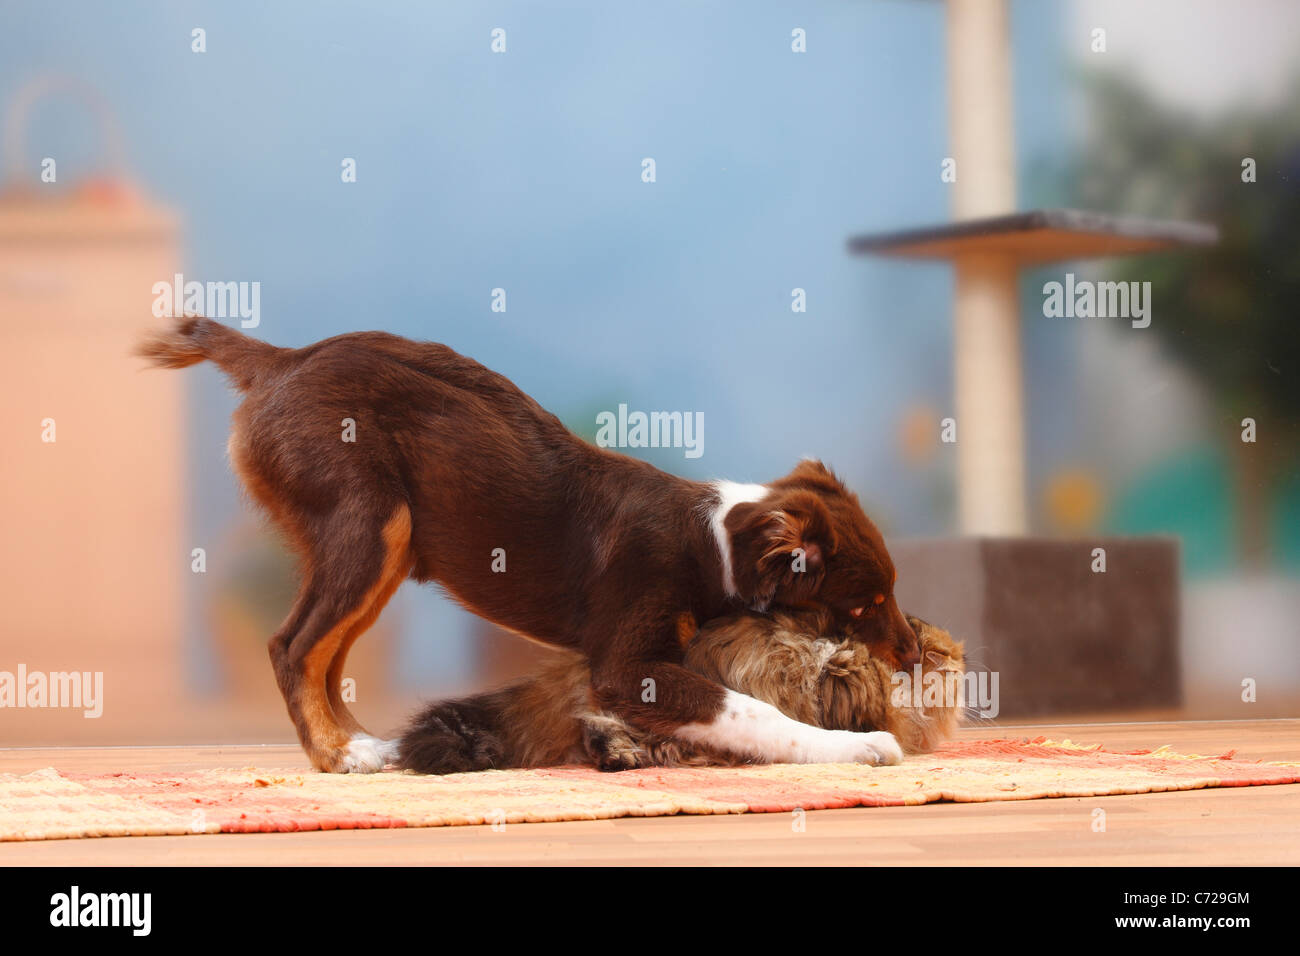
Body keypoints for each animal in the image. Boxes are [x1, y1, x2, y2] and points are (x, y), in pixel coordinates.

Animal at [139, 319, 915, 770]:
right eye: (863, 604)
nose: (914, 656)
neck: (714, 541)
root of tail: (280, 360)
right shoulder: (627, 665)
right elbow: (750, 709)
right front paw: (856, 744)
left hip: (384, 546)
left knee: (325, 656)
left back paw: (368, 745)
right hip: (367, 522)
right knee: (292, 647)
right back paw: (339, 754)